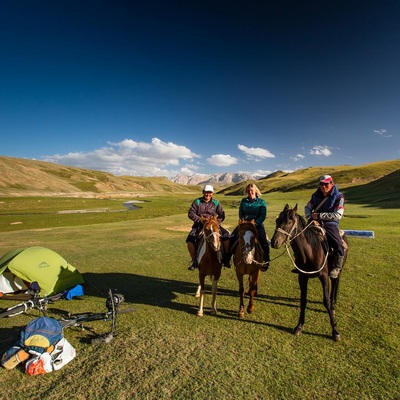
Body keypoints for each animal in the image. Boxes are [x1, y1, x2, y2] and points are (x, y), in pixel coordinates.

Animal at [270, 206, 348, 340]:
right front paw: (299, 326)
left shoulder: (323, 276)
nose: (274, 242)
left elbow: (326, 301)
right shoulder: (302, 277)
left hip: (338, 269)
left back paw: (333, 305)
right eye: (277, 220)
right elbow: (303, 300)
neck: (310, 251)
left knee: (335, 282)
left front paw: (335, 331)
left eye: (289, 222)